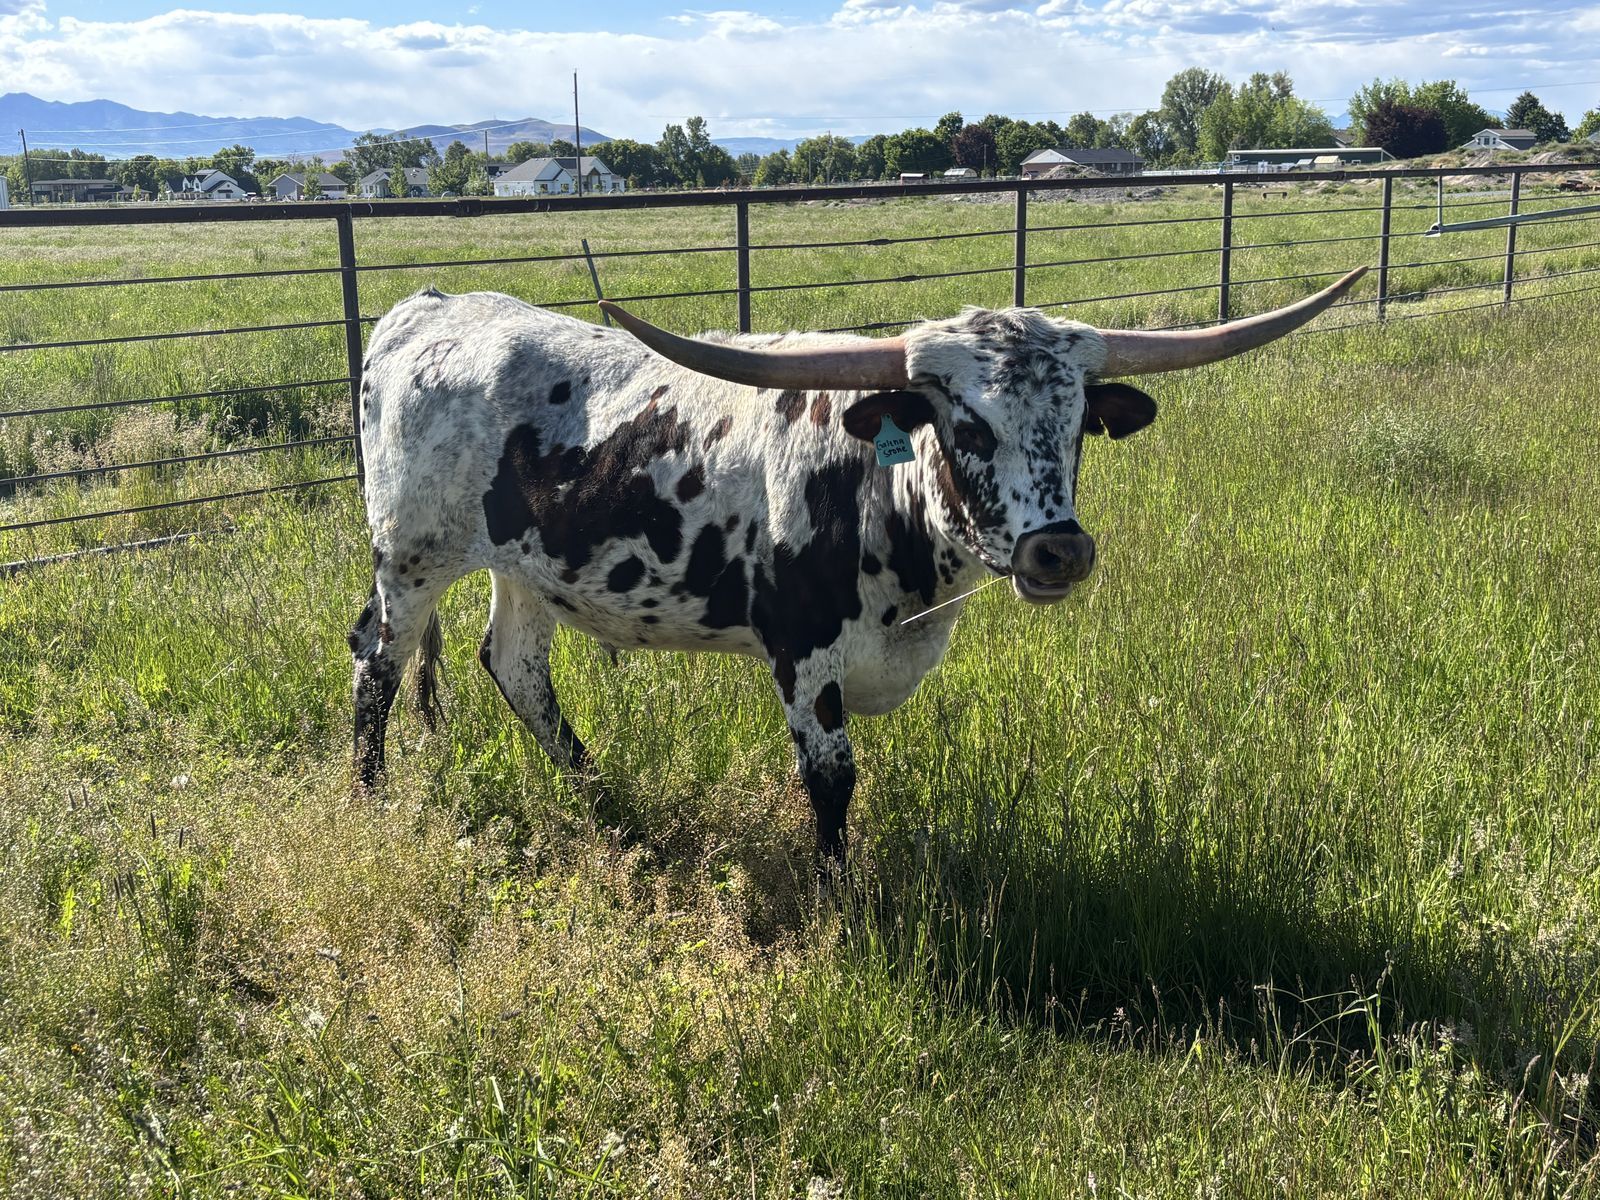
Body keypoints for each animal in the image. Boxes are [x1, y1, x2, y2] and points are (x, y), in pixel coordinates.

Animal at [349, 267, 1366, 859]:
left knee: (517, 668)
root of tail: (426, 309)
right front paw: (837, 903)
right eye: (966, 424)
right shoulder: (802, 654)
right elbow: (832, 781)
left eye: (1079, 423)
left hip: (525, 569)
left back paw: (609, 806)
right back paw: (370, 802)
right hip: (411, 559)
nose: (1060, 549)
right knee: (377, 665)